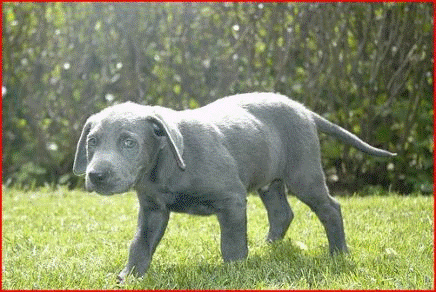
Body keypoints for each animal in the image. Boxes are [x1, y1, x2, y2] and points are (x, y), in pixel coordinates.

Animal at [73, 92, 396, 282]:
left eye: (129, 142)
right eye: (93, 142)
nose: (96, 175)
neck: (166, 164)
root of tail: (303, 109)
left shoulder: (231, 200)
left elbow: (231, 244)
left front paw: (235, 273)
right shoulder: (153, 209)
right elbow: (140, 243)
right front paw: (130, 276)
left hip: (304, 174)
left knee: (330, 208)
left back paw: (338, 252)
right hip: (270, 179)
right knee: (282, 212)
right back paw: (269, 248)